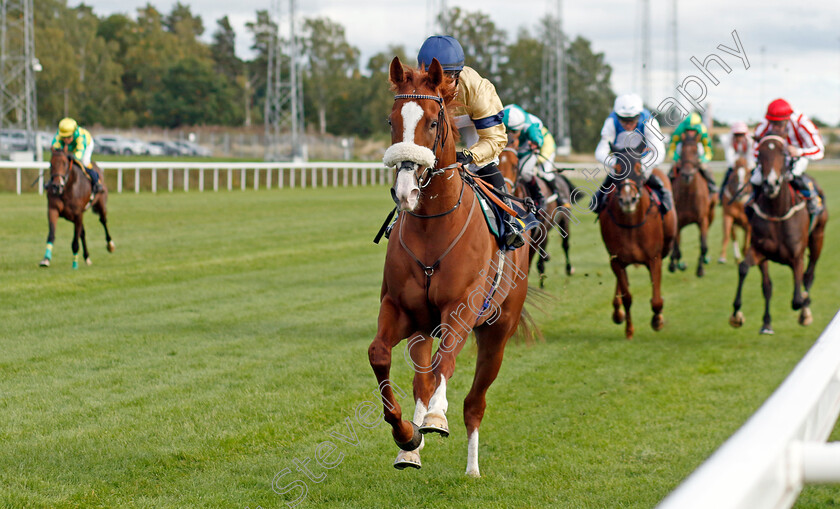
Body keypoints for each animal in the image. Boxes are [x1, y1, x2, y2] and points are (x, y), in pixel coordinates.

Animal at [372, 56, 536, 476]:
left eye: (433, 121)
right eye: (391, 121)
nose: (405, 191)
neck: (433, 228)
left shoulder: (461, 308)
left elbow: (445, 360)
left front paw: (435, 418)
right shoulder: (402, 310)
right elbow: (380, 355)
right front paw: (406, 436)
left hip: (497, 332)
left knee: (475, 401)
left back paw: (472, 468)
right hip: (422, 329)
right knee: (423, 381)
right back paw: (411, 451)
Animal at [600, 142, 680, 338]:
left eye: (637, 168)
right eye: (616, 169)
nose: (628, 199)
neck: (631, 224)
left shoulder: (655, 258)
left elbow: (657, 299)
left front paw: (657, 320)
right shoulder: (616, 260)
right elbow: (627, 296)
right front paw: (629, 330)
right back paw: (617, 312)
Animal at [668, 129, 716, 276]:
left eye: (695, 152)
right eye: (682, 151)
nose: (687, 174)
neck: (689, 195)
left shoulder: (702, 220)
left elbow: (704, 245)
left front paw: (700, 268)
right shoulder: (677, 221)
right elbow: (676, 248)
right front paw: (677, 265)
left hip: (711, 214)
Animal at [728, 135, 828, 334]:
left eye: (783, 153)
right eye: (760, 153)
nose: (770, 184)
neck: (777, 212)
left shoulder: (797, 257)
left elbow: (797, 299)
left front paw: (804, 303)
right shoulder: (760, 251)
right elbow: (749, 273)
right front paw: (739, 315)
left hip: (818, 238)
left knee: (809, 275)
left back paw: (806, 311)